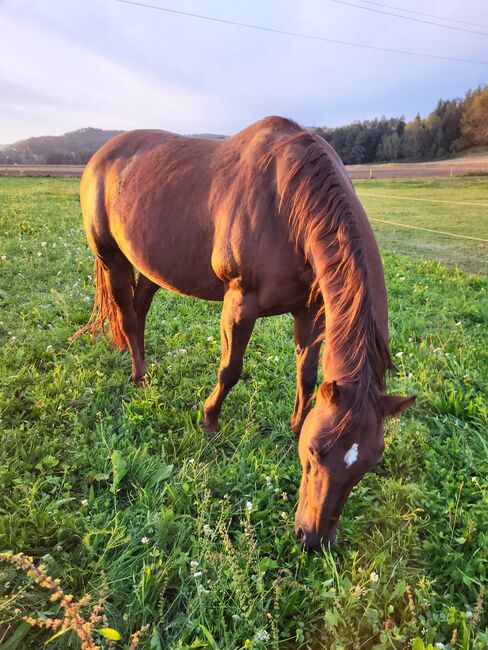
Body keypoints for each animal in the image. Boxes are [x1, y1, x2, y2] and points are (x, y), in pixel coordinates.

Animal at [74, 117, 414, 548]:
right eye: (316, 451)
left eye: (371, 462)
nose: (313, 539)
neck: (287, 201)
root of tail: (101, 155)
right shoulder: (240, 302)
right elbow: (230, 369)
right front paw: (209, 423)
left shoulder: (309, 311)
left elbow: (306, 374)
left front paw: (294, 423)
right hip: (112, 258)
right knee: (128, 317)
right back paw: (140, 379)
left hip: (152, 268)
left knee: (139, 311)